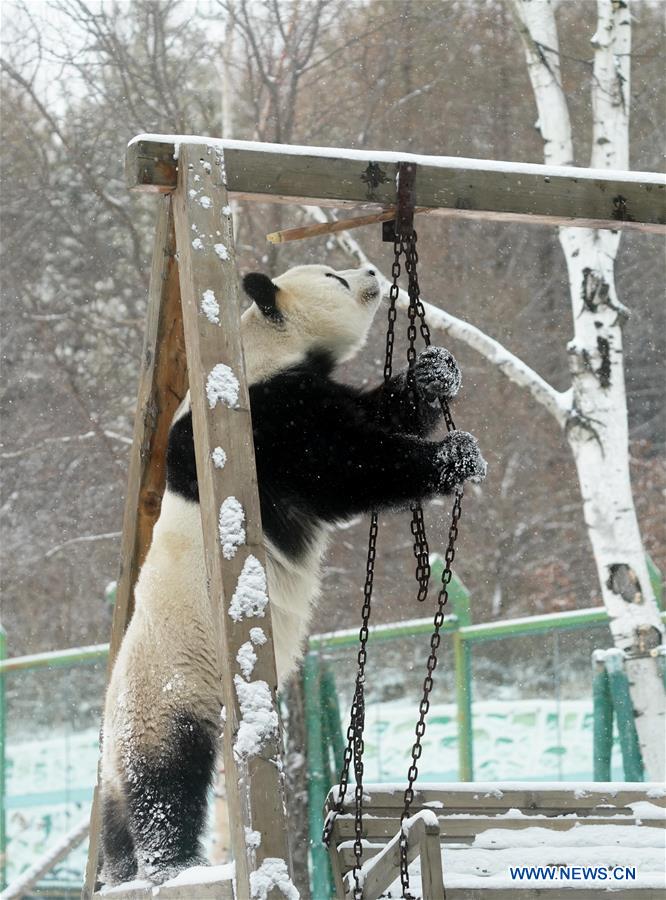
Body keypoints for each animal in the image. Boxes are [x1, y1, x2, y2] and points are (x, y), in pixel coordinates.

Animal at [98, 264, 486, 884]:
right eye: (334, 275)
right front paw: (456, 456)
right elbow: (348, 467)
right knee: (166, 781)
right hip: (168, 693)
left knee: (118, 815)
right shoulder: (266, 421)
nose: (371, 271)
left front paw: (434, 372)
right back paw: (175, 864)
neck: (264, 344)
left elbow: (374, 412)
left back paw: (126, 871)